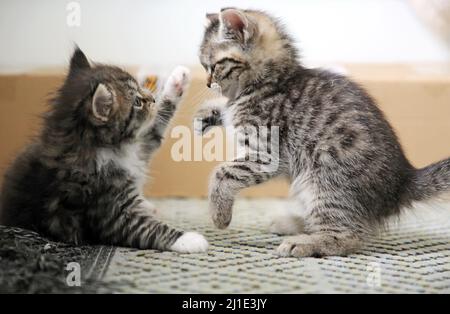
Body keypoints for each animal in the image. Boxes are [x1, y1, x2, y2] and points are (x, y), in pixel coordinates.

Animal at [0, 48, 209, 253]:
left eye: (141, 90)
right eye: (137, 102)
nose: (152, 98)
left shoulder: (140, 146)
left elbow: (159, 120)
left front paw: (178, 79)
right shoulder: (110, 212)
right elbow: (149, 230)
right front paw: (190, 240)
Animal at [195, 7, 448, 258]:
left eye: (214, 66)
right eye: (204, 66)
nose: (207, 83)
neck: (272, 83)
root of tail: (402, 182)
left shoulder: (267, 153)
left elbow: (223, 172)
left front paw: (219, 215)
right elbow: (225, 110)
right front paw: (205, 114)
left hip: (322, 178)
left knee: (350, 235)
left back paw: (305, 242)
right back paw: (296, 224)